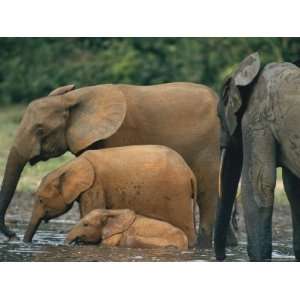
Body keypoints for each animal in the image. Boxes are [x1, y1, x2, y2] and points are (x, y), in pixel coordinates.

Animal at [23, 145, 197, 246]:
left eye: (41, 200)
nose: (26, 243)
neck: (69, 166)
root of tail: (190, 173)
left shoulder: (95, 185)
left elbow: (90, 211)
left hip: (178, 194)